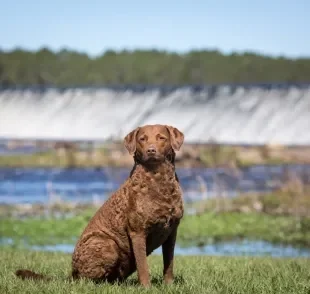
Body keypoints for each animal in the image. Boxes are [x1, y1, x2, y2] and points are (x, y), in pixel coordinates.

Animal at [15, 124, 184, 288]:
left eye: (161, 138)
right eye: (142, 139)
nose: (151, 150)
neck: (159, 180)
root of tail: (72, 273)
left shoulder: (172, 232)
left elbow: (169, 263)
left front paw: (169, 286)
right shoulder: (138, 232)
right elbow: (143, 266)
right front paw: (146, 288)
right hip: (107, 244)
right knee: (88, 279)